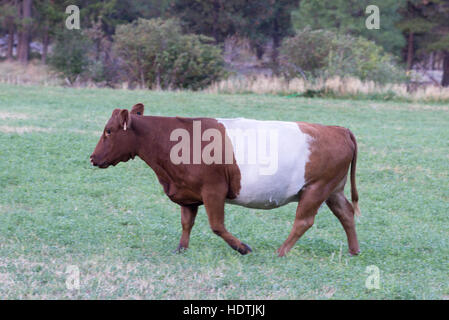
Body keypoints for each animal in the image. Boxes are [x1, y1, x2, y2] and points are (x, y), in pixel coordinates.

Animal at [91, 104, 360, 256]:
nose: (93, 158)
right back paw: (354, 250)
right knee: (346, 213)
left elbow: (217, 225)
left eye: (108, 131)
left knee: (303, 221)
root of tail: (338, 129)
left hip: (317, 188)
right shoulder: (188, 195)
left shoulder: (214, 190)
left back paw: (281, 252)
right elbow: (186, 223)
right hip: (333, 189)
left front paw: (242, 248)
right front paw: (181, 249)